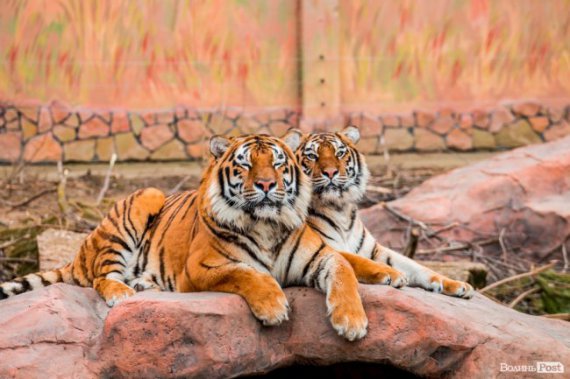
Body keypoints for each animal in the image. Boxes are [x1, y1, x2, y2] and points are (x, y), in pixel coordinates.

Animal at [0, 135, 400, 342]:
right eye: (245, 164)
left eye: (277, 162)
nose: (266, 184)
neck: (266, 224)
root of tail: (81, 250)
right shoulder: (202, 267)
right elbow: (247, 273)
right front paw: (273, 306)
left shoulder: (320, 256)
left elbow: (345, 269)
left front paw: (352, 321)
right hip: (142, 199)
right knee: (102, 276)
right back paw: (123, 292)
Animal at [284, 125, 474, 300]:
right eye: (312, 156)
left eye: (339, 153)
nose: (330, 172)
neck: (339, 209)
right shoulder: (323, 247)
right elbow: (360, 261)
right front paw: (393, 274)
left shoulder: (375, 250)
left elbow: (418, 267)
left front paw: (459, 285)